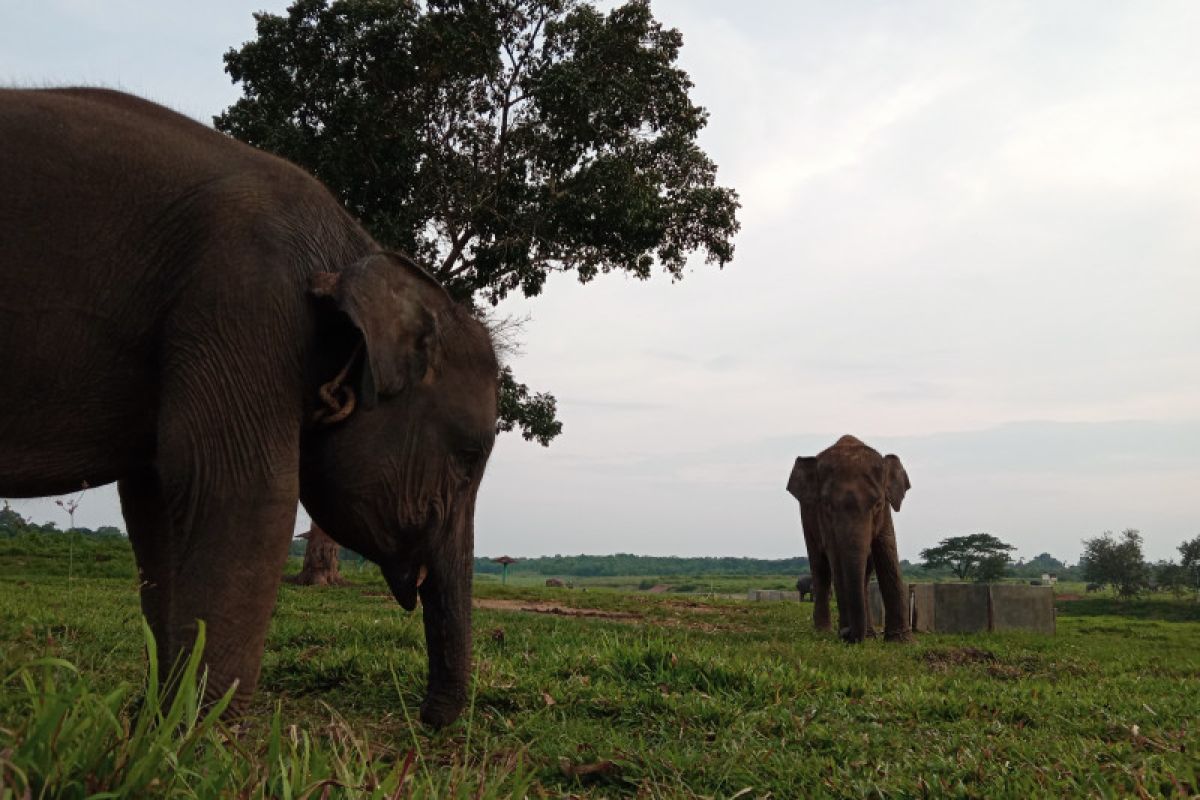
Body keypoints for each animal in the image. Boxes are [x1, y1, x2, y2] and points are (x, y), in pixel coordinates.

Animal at [782, 434, 912, 642]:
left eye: (878, 504)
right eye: (826, 505)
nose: (845, 632)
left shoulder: (886, 513)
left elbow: (886, 550)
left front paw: (901, 642)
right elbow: (835, 558)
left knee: (864, 573)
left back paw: (867, 635)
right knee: (820, 566)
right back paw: (824, 631)